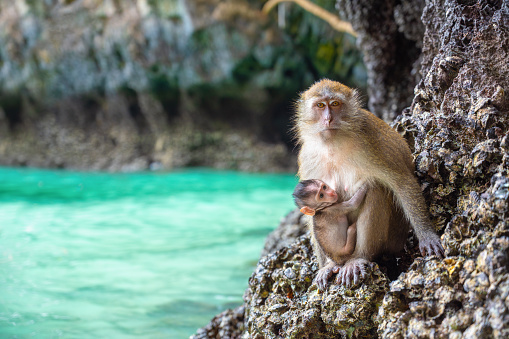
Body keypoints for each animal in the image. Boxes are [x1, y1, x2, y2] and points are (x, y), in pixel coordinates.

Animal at [294, 79, 444, 286]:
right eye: (320, 105)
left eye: (335, 104)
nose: (328, 119)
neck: (333, 145)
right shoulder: (307, 157)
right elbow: (312, 214)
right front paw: (325, 266)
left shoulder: (371, 142)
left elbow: (402, 182)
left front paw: (427, 235)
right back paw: (334, 263)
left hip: (393, 239)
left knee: (376, 189)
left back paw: (359, 258)